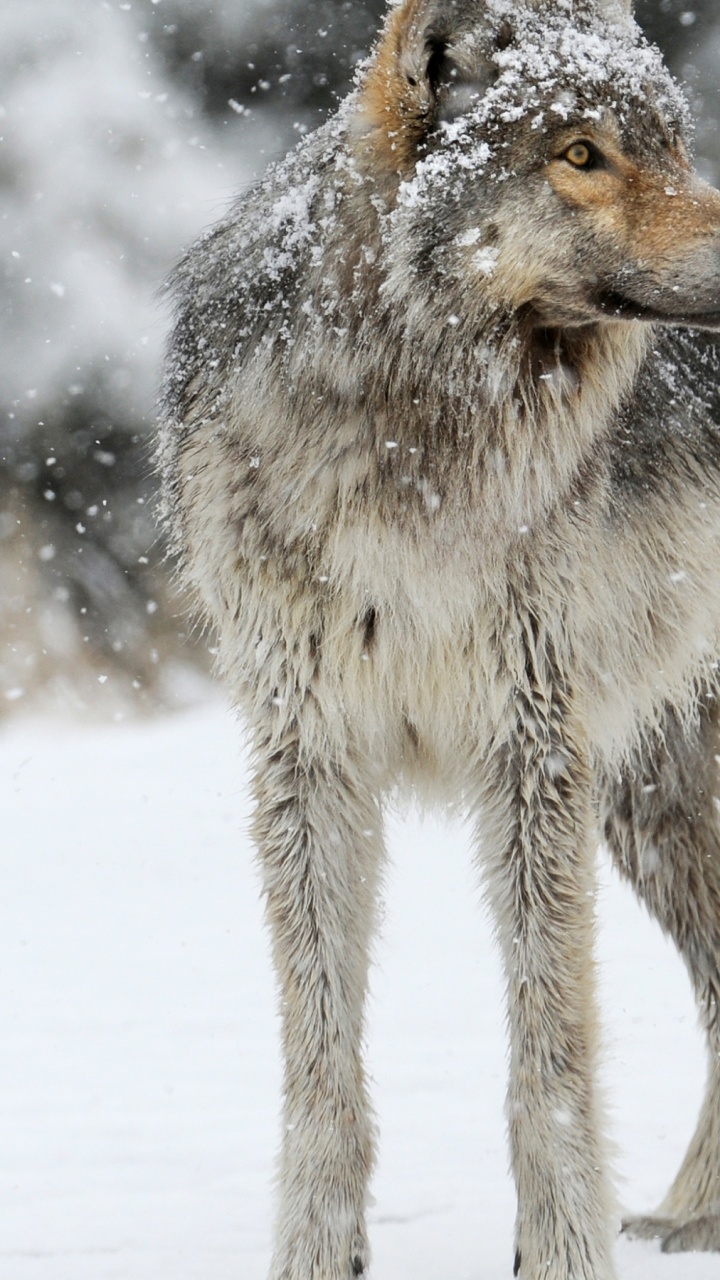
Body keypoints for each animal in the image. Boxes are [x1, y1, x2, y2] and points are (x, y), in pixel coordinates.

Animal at [158, 0, 720, 1275]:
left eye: (671, 146)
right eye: (580, 154)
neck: (414, 442)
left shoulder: (533, 749)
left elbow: (549, 1052)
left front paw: (562, 1253)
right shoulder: (310, 753)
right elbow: (319, 1054)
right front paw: (316, 1254)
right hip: (651, 797)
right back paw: (693, 1215)